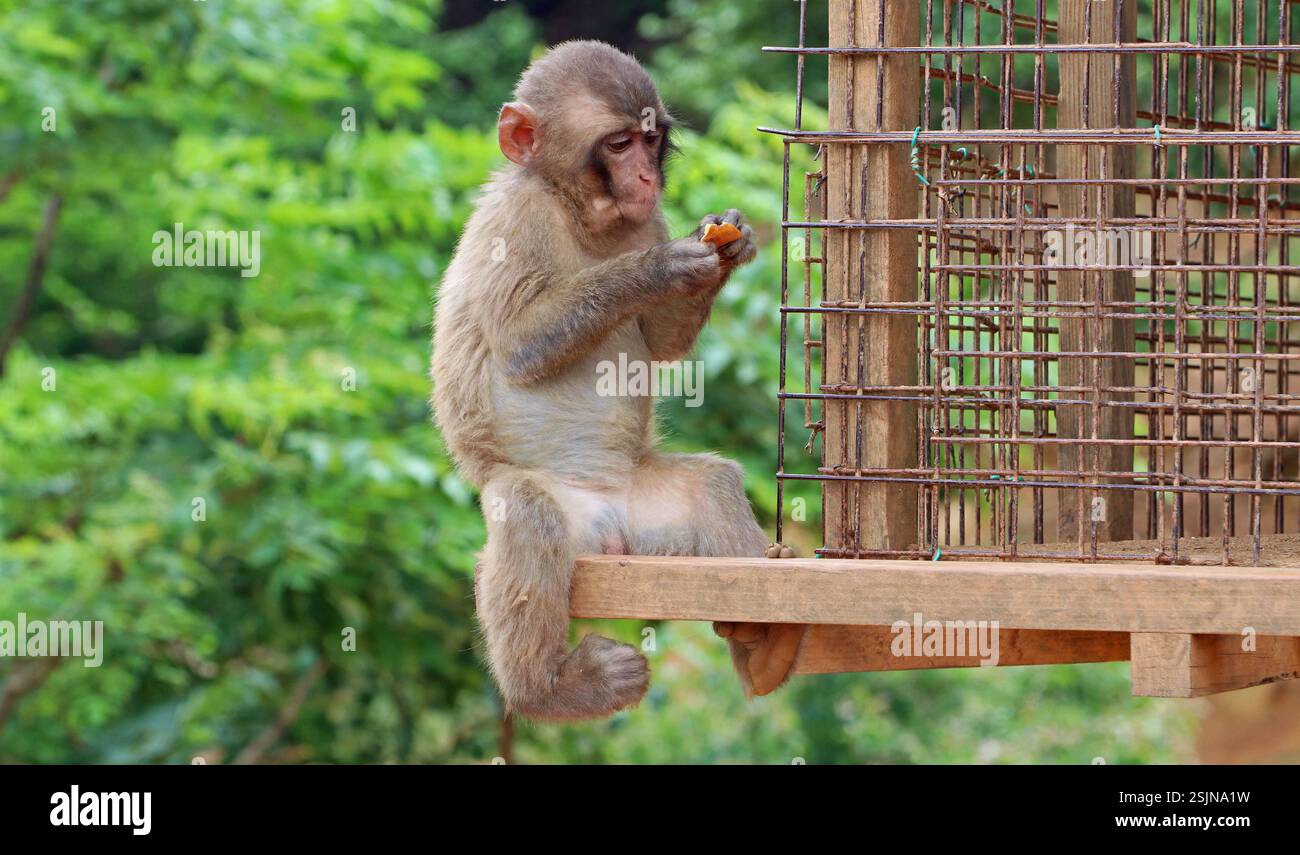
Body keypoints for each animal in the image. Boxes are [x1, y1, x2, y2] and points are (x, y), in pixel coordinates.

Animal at [431, 40, 806, 722]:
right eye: (617, 144)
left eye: (650, 141)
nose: (647, 179)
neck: (581, 212)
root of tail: (610, 521)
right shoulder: (516, 219)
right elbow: (521, 343)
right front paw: (657, 268)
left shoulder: (646, 218)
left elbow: (660, 343)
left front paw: (726, 245)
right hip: (557, 516)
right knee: (526, 511)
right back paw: (549, 689)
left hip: (653, 519)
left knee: (711, 482)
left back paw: (762, 643)